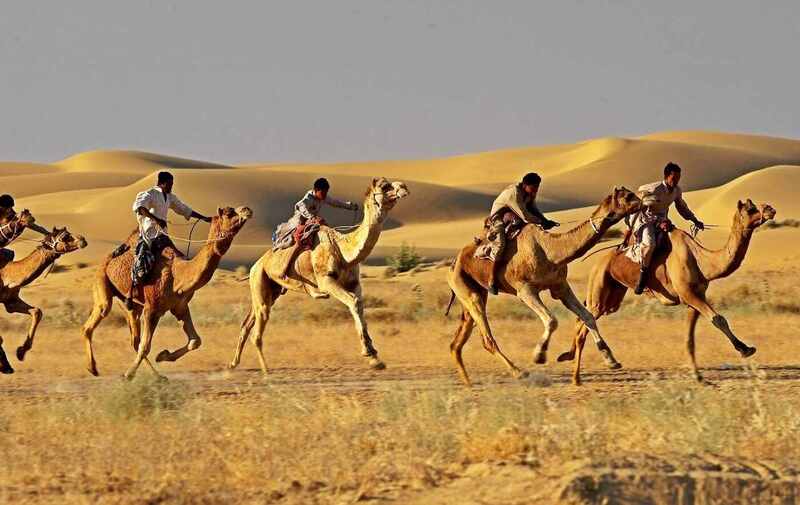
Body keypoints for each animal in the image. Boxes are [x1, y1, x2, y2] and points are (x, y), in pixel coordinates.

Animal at [0, 226, 88, 372]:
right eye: (65, 237)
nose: (83, 240)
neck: (7, 274)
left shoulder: (10, 301)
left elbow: (37, 311)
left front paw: (21, 352)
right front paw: (5, 365)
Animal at [81, 206, 250, 378]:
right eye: (229, 213)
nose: (246, 209)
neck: (178, 275)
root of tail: (107, 260)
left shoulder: (180, 306)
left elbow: (195, 341)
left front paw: (162, 355)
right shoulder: (152, 309)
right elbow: (146, 346)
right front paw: (128, 374)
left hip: (131, 305)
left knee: (134, 339)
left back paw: (157, 375)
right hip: (102, 282)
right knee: (94, 321)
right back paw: (92, 368)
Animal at [228, 176, 410, 370]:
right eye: (384, 186)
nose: (404, 187)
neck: (343, 250)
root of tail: (255, 265)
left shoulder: (354, 283)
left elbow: (359, 304)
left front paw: (375, 357)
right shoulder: (326, 281)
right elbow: (353, 302)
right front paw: (369, 352)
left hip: (272, 290)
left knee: (247, 322)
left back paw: (234, 363)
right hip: (259, 280)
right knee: (257, 325)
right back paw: (265, 369)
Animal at [446, 186, 640, 386]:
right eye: (628, 196)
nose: (642, 201)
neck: (550, 250)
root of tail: (454, 263)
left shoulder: (560, 286)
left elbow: (588, 316)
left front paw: (610, 359)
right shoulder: (525, 290)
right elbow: (552, 320)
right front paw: (539, 355)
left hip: (473, 293)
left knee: (457, 341)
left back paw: (468, 382)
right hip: (467, 289)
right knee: (486, 338)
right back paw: (519, 373)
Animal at [564, 199, 776, 384]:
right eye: (750, 208)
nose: (770, 209)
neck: (702, 261)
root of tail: (598, 263)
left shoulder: (694, 298)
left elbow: (690, 338)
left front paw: (698, 377)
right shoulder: (688, 294)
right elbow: (719, 319)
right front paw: (745, 349)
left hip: (613, 297)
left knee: (583, 318)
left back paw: (571, 359)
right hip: (599, 286)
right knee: (585, 321)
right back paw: (585, 373)